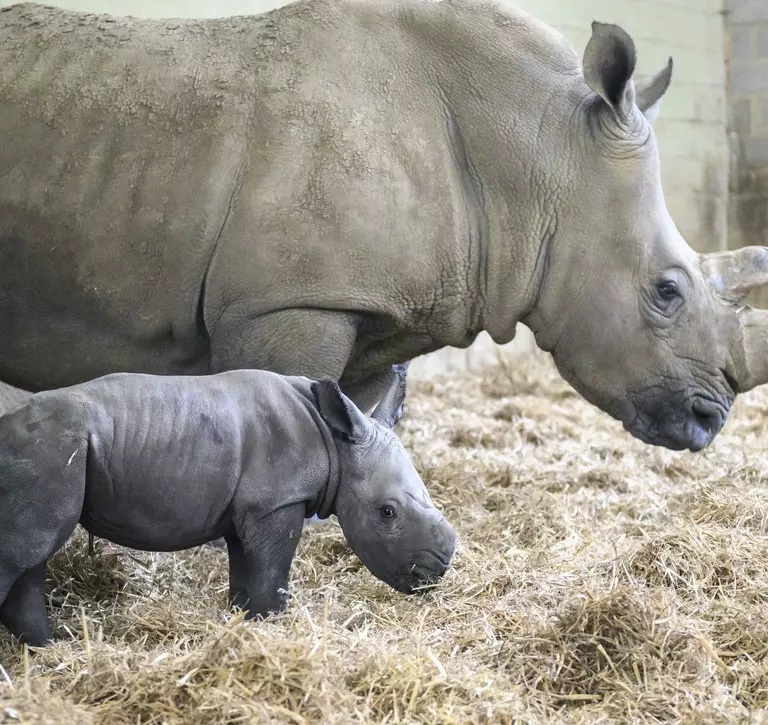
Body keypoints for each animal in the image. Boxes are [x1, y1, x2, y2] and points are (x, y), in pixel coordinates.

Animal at [0, 368, 452, 644]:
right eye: (387, 513)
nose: (437, 570)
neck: (337, 444)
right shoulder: (277, 501)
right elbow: (272, 571)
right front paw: (272, 627)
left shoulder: (250, 509)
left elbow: (245, 573)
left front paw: (242, 624)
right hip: (51, 448)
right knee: (26, 549)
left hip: (53, 451)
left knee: (32, 552)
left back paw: (49, 648)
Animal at [1, 2, 768, 450]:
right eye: (666, 291)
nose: (711, 421)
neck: (536, 156)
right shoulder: (287, 301)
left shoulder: (374, 308)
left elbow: (361, 429)